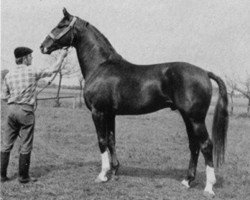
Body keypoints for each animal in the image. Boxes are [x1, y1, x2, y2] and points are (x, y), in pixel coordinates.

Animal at [40, 8, 229, 197]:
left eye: (61, 25)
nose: (43, 46)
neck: (100, 66)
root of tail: (204, 72)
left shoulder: (98, 112)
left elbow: (101, 140)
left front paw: (102, 175)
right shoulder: (110, 114)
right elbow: (111, 140)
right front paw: (114, 171)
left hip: (195, 119)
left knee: (206, 145)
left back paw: (209, 187)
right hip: (187, 117)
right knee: (194, 145)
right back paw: (187, 181)